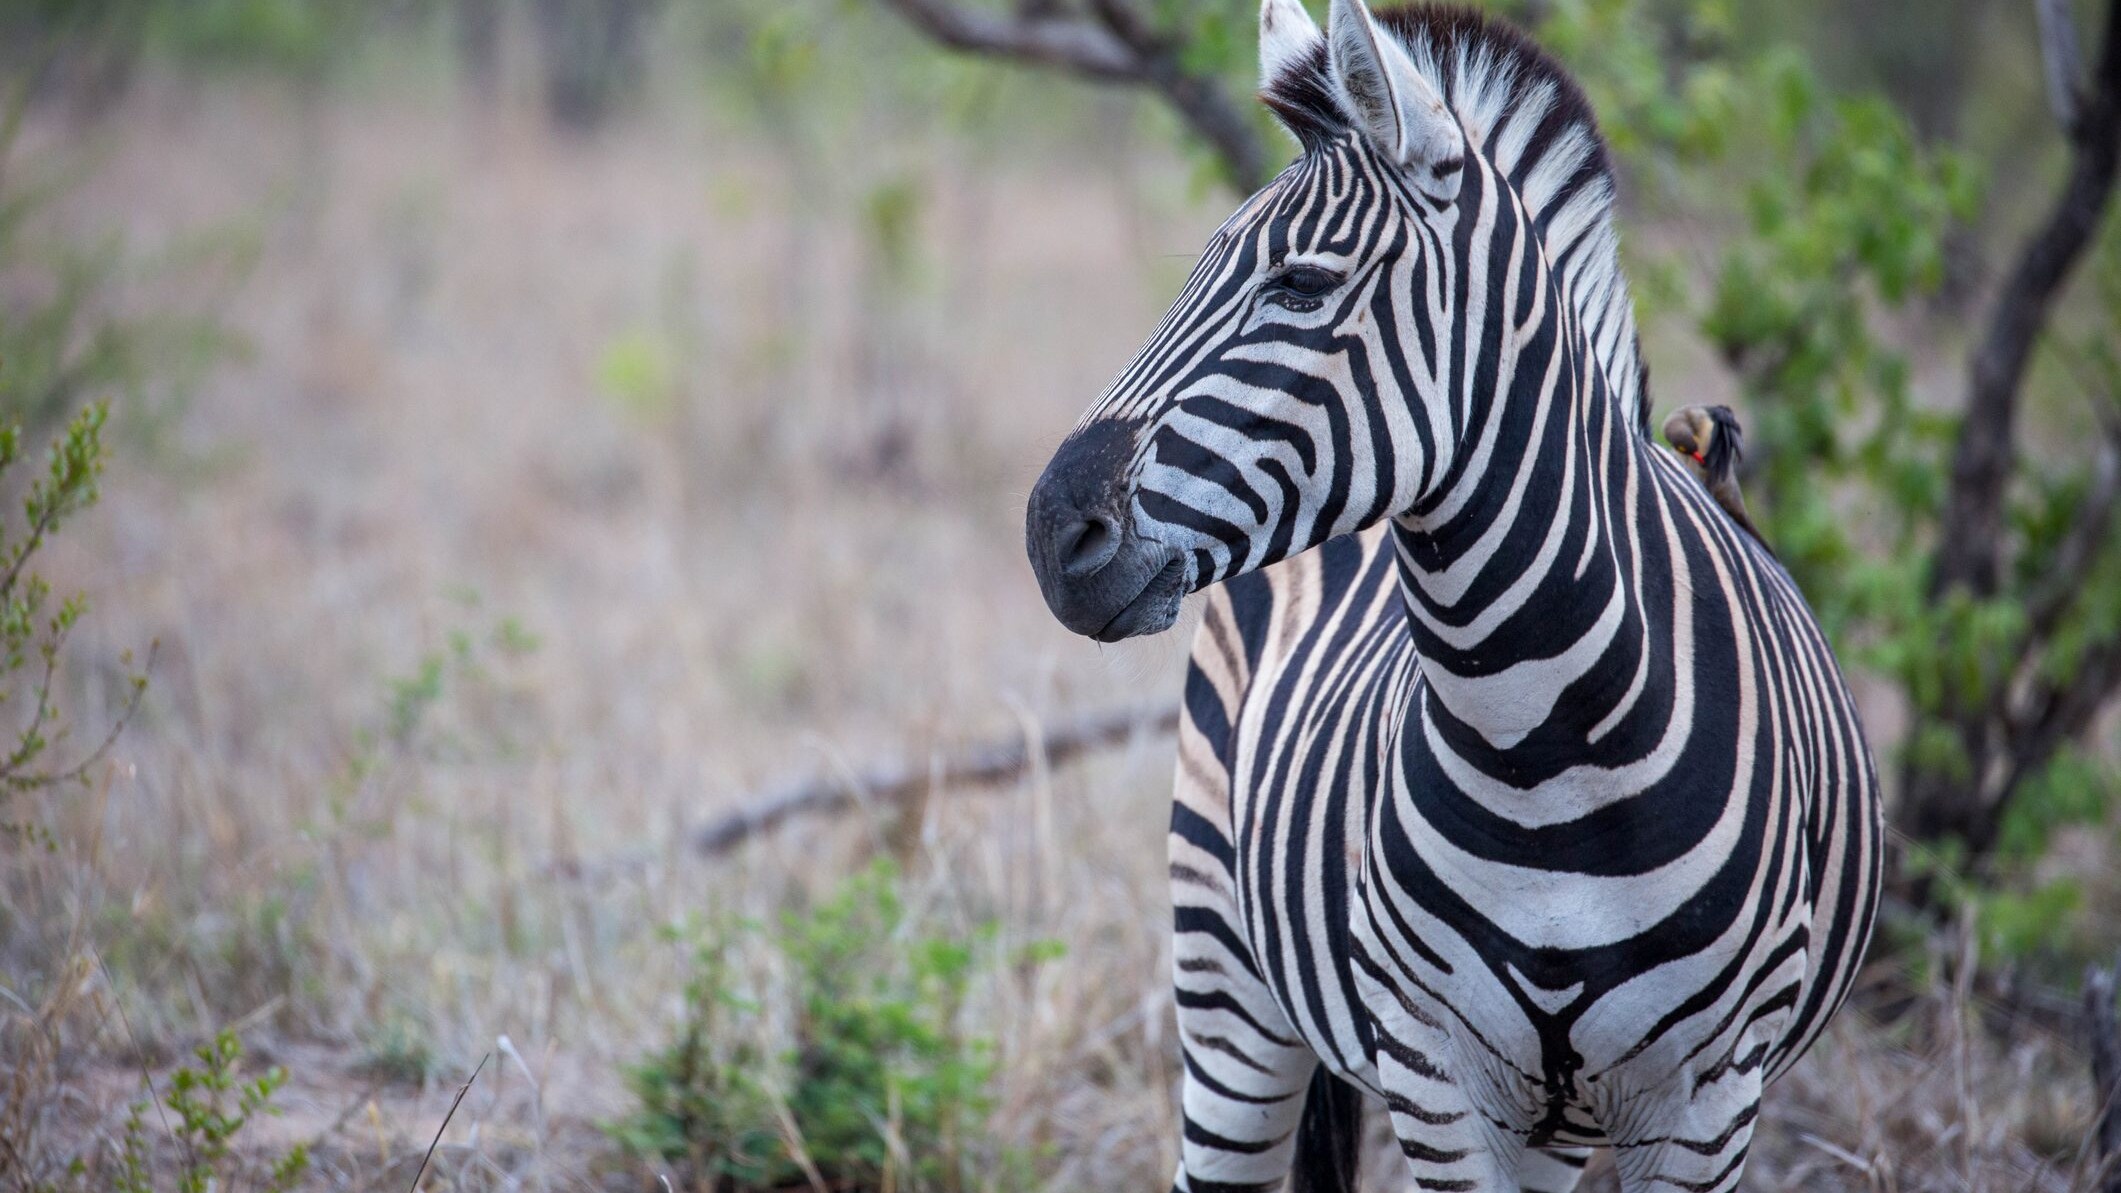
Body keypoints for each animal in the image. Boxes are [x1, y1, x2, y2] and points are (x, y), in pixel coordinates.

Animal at [1020, 2, 1883, 1190]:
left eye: (1300, 286)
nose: (1053, 534)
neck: (1550, 751)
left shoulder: (1709, 1099)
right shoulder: (1439, 1077)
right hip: (1225, 977)